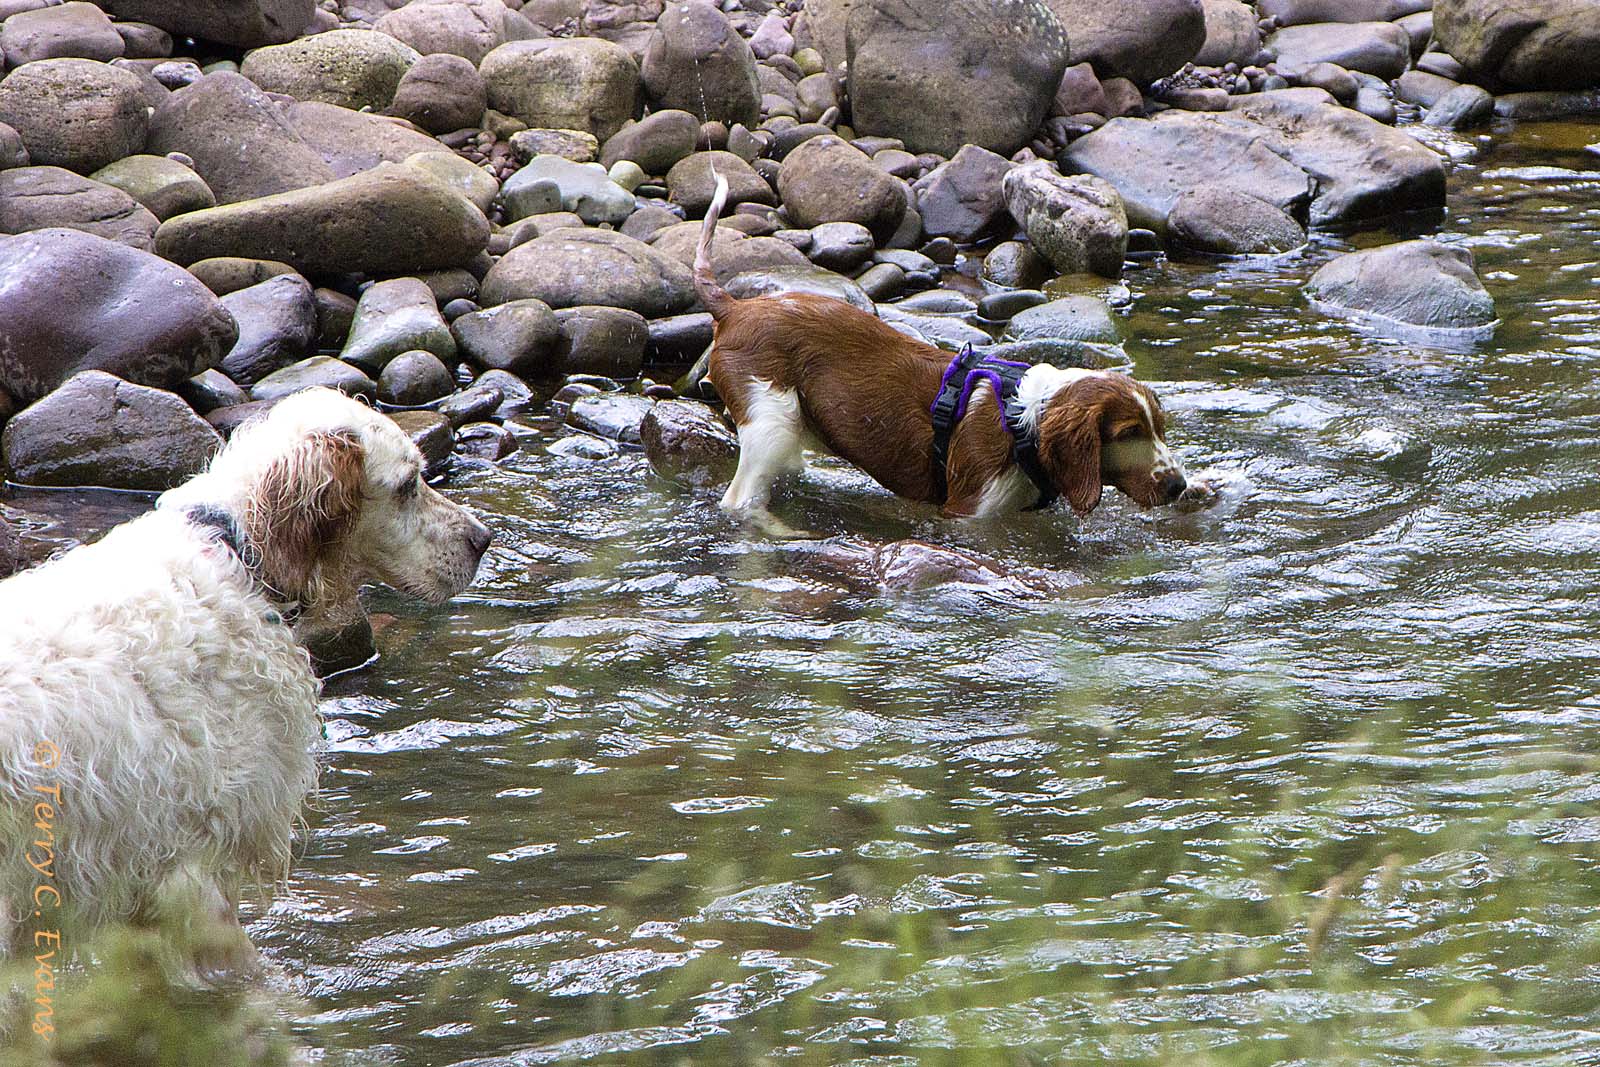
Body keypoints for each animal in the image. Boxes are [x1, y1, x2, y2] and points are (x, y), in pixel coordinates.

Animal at [694, 175, 1189, 520]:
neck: (1023, 422)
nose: (1179, 487)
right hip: (770, 422)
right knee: (739, 501)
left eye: (1160, 430)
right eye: (1128, 434)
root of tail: (736, 308)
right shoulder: (969, 512)